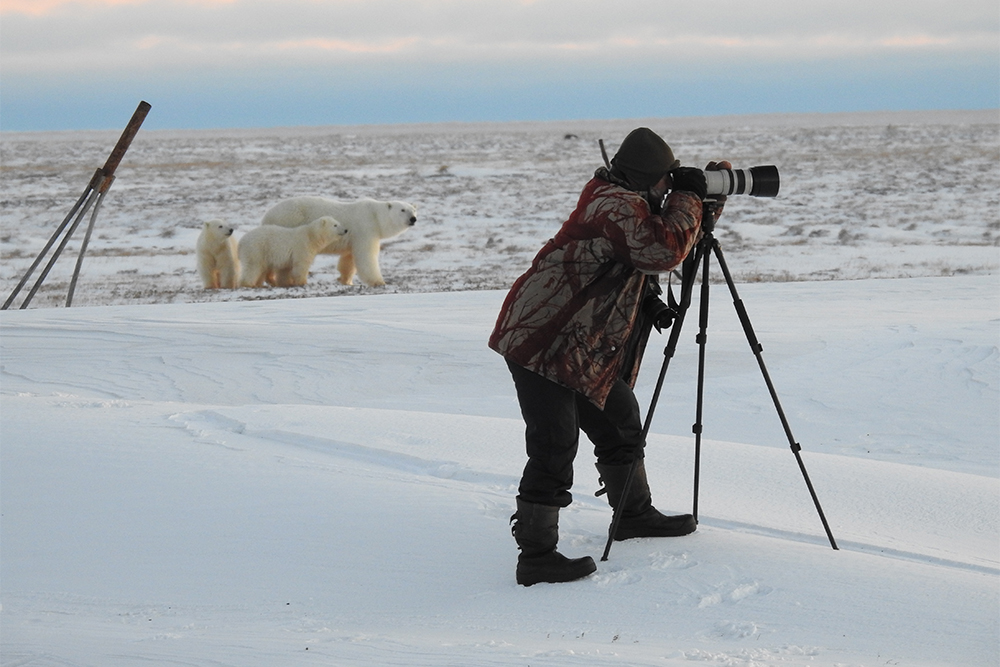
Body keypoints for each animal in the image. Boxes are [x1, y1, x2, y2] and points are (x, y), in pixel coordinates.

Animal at [260, 194, 416, 286]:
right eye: (402, 210)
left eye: (413, 210)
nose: (413, 219)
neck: (375, 216)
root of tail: (267, 216)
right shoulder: (365, 228)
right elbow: (366, 256)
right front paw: (379, 281)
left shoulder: (354, 237)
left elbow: (349, 259)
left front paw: (345, 280)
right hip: (287, 223)